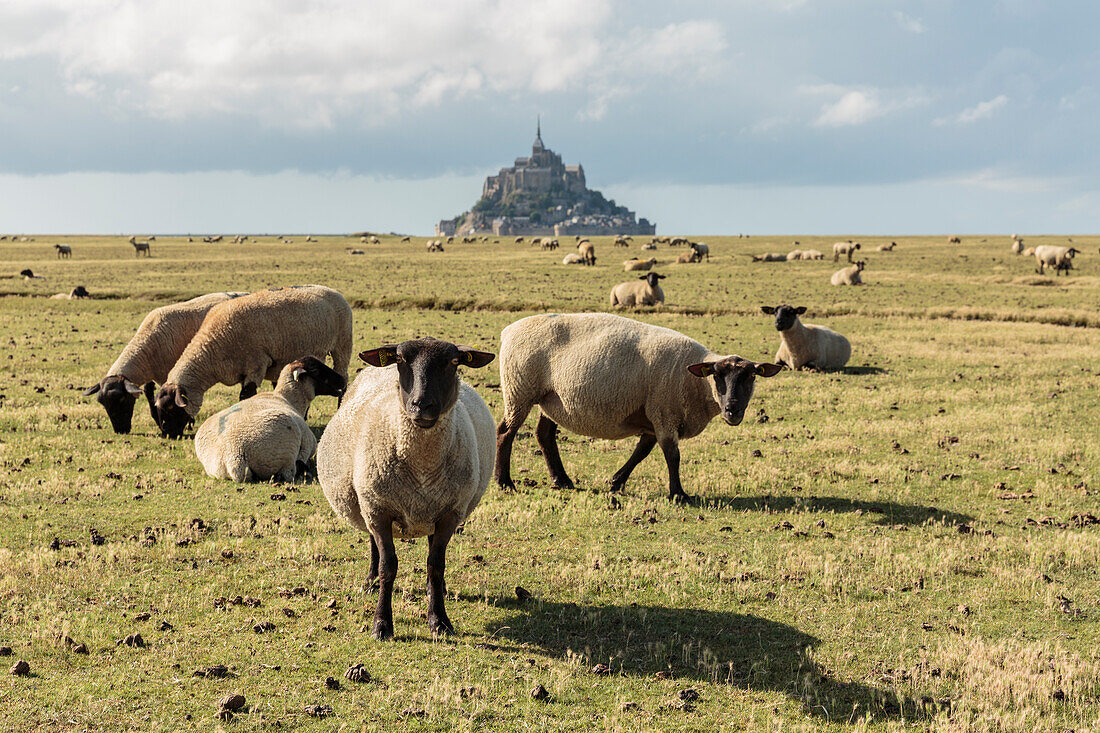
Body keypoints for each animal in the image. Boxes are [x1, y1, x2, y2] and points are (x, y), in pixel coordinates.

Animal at [152, 283, 352, 433]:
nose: (167, 434)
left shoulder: (256, 364)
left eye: (171, 408)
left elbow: (245, 396)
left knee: (344, 380)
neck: (212, 347)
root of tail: (331, 290)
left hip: (342, 345)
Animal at [194, 352, 343, 479]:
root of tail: (234, 455)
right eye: (315, 370)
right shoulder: (308, 443)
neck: (287, 398)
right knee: (288, 472)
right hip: (284, 452)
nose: (342, 379)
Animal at [316, 334, 492, 638]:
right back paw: (370, 581)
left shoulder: (450, 513)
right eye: (400, 359)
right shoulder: (378, 510)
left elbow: (436, 566)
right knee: (373, 546)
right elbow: (388, 566)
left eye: (453, 362)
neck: (422, 467)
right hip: (367, 502)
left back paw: (439, 591)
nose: (422, 405)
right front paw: (382, 624)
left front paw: (439, 620)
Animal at [495, 310, 787, 499]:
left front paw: (615, 482)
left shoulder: (653, 415)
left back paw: (562, 480)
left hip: (552, 398)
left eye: (751, 376)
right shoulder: (664, 411)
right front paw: (678, 494)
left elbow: (642, 452)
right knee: (505, 433)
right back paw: (505, 483)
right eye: (717, 376)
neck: (695, 383)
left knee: (544, 435)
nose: (732, 410)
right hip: (519, 389)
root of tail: (508, 330)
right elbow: (672, 455)